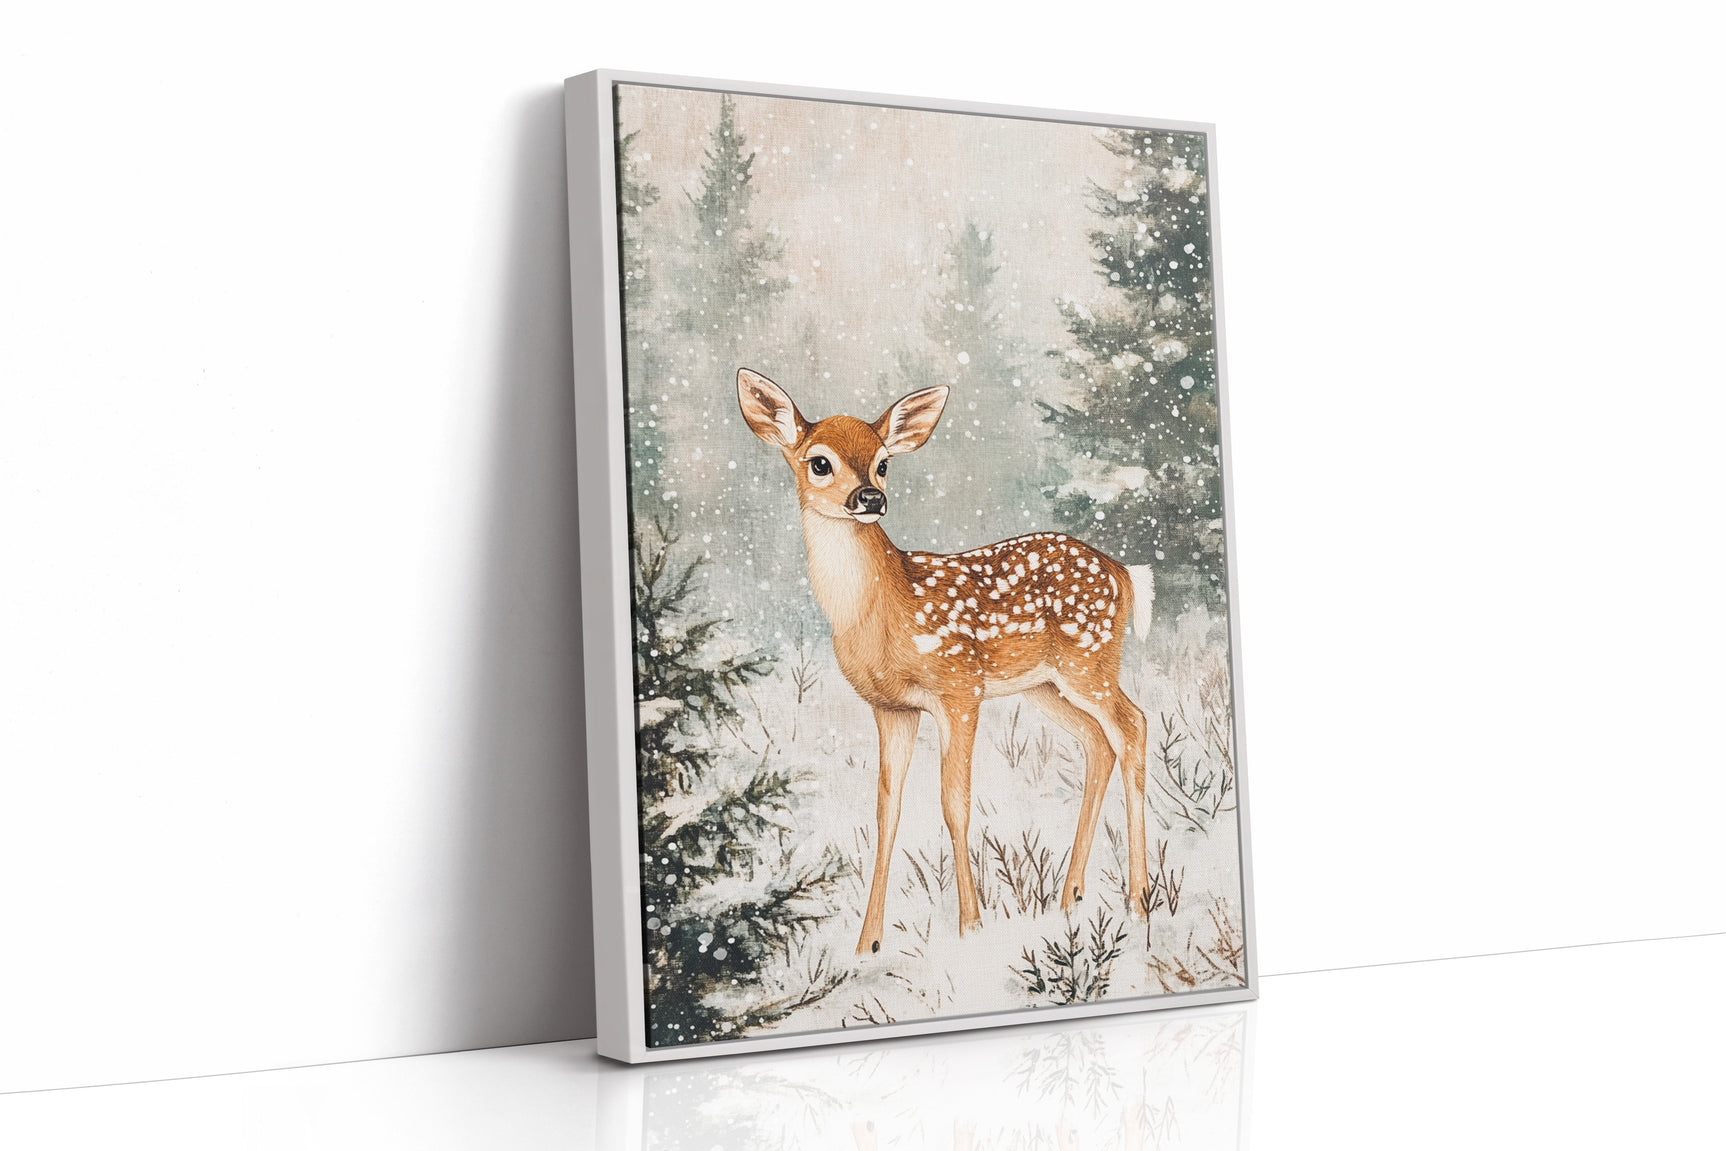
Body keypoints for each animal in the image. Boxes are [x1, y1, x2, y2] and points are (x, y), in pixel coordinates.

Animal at [736, 367, 1158, 956]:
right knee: (1099, 742)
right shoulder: (891, 708)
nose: (870, 497)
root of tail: (1122, 572)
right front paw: (867, 945)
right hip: (1044, 685)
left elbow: (955, 804)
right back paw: (1070, 896)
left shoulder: (959, 689)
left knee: (1133, 725)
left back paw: (1138, 902)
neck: (882, 611)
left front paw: (971, 928)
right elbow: (887, 810)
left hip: (1089, 659)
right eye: (819, 462)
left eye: (884, 462)